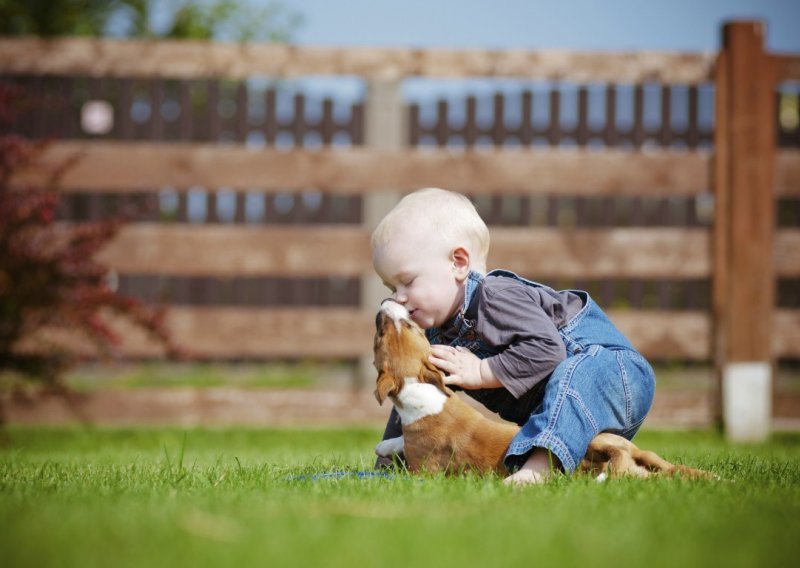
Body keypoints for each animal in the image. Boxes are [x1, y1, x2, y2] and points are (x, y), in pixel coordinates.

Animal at [374, 298, 712, 480]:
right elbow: (396, 442)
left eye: (407, 327)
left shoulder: (422, 473)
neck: (421, 390)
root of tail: (620, 456)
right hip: (634, 451)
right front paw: (385, 446)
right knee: (668, 466)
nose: (385, 304)